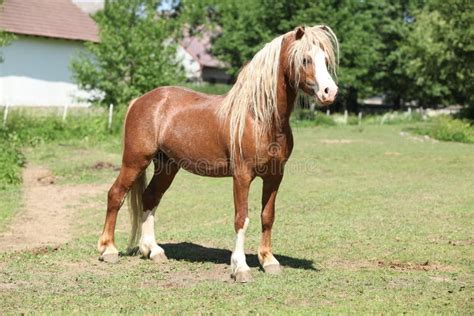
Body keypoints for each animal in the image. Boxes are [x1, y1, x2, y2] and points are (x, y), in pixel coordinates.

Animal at [98, 24, 338, 282]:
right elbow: (241, 218)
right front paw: (240, 268)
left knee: (150, 197)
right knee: (116, 194)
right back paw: (108, 250)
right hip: (135, 160)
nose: (329, 92)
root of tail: (140, 100)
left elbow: (267, 216)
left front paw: (268, 260)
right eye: (305, 59)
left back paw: (153, 251)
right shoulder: (242, 176)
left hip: (167, 166)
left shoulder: (275, 176)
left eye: (325, 59)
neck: (260, 118)